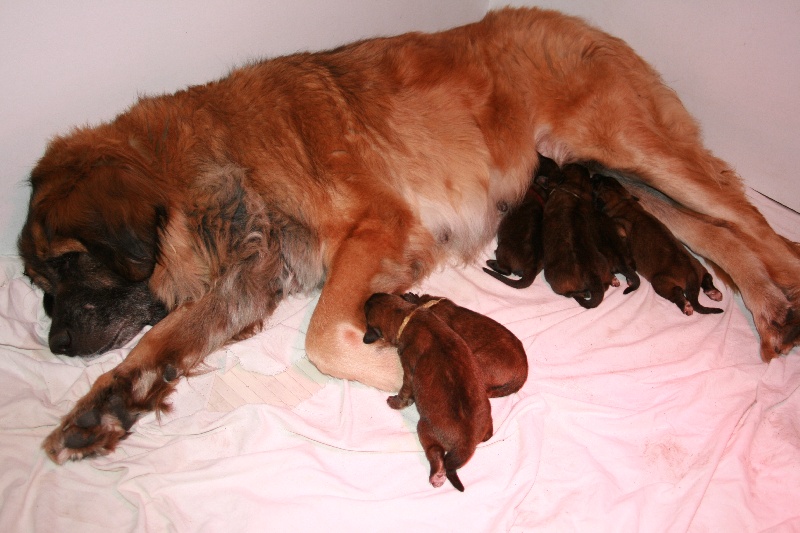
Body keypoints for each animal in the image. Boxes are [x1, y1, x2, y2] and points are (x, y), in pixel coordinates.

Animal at [364, 290, 494, 490]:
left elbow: (404, 392)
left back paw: (437, 474)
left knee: (434, 452)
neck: (407, 317)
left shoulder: (409, 371)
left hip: (425, 428)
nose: (369, 296)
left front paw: (394, 402)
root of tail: (467, 442)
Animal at [592, 175, 724, 316]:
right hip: (700, 267)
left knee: (676, 293)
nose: (595, 175)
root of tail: (692, 275)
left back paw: (686, 305)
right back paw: (713, 292)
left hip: (660, 282)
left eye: (597, 183)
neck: (622, 201)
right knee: (707, 278)